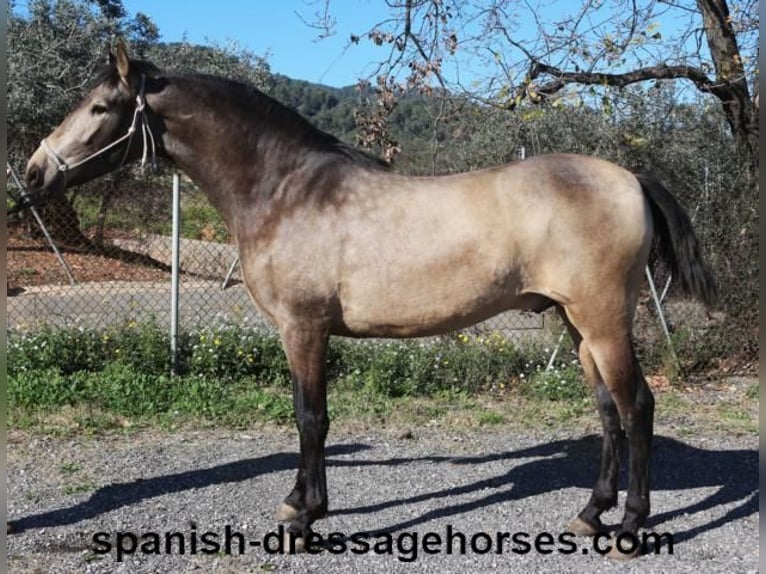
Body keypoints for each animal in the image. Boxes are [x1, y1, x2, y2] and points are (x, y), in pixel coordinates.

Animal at [24, 45, 720, 564]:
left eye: (100, 106)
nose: (33, 174)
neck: (284, 189)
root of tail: (628, 178)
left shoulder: (303, 329)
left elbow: (310, 419)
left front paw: (303, 519)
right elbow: (308, 418)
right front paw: (300, 504)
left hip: (603, 321)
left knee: (637, 407)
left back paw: (629, 528)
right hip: (579, 327)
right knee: (608, 413)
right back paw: (590, 514)